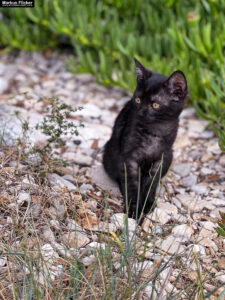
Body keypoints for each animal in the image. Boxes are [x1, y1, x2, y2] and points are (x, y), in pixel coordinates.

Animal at [103, 58, 188, 218]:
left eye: (155, 105)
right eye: (137, 100)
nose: (141, 112)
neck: (155, 132)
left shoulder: (161, 158)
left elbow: (151, 184)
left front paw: (147, 204)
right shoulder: (129, 158)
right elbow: (132, 184)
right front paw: (134, 209)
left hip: (170, 156)